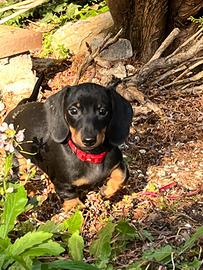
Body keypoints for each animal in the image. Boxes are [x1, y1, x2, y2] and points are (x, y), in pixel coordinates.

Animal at [4, 80, 132, 211]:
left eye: (103, 111)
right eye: (73, 111)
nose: (89, 140)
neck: (89, 155)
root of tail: (16, 109)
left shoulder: (118, 162)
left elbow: (122, 175)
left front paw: (107, 190)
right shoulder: (62, 183)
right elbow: (71, 198)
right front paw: (75, 207)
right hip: (16, 156)